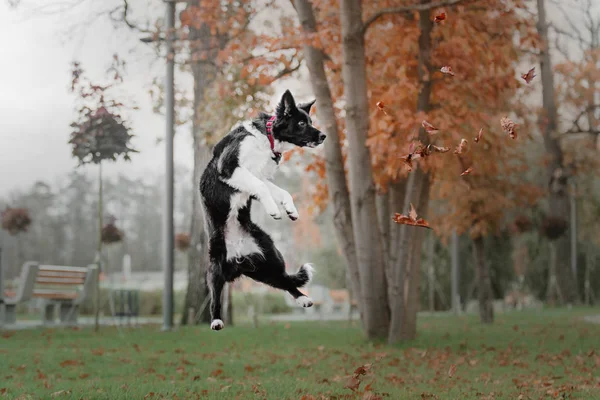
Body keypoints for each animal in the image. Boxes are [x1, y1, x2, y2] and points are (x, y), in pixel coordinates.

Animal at [199, 90, 326, 332]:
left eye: (310, 121)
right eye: (302, 123)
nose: (323, 136)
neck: (266, 139)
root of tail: (239, 259)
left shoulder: (260, 175)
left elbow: (281, 191)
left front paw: (290, 210)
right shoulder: (231, 168)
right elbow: (261, 188)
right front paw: (274, 211)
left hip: (269, 263)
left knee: (285, 280)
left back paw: (303, 298)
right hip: (215, 267)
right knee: (215, 297)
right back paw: (216, 320)